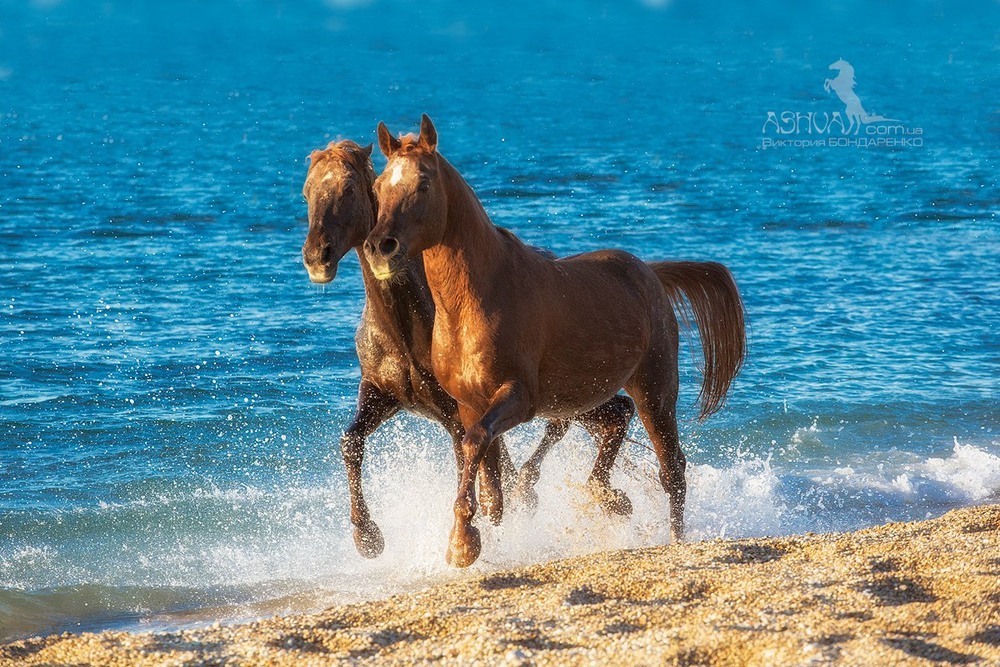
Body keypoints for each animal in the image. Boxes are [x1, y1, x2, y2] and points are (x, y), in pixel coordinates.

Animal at [300, 140, 636, 560]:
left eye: (349, 189)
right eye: (307, 192)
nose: (317, 256)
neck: (405, 328)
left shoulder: (456, 413)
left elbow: (470, 466)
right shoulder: (381, 394)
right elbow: (350, 442)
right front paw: (368, 537)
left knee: (595, 418)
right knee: (604, 418)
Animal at [364, 117, 748, 568]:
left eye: (423, 183)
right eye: (380, 186)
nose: (379, 246)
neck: (475, 300)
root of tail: (650, 272)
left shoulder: (518, 396)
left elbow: (476, 444)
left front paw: (461, 543)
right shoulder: (469, 404)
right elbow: (487, 475)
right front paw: (486, 528)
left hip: (655, 390)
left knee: (672, 468)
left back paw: (672, 539)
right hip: (585, 395)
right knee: (617, 424)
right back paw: (609, 498)